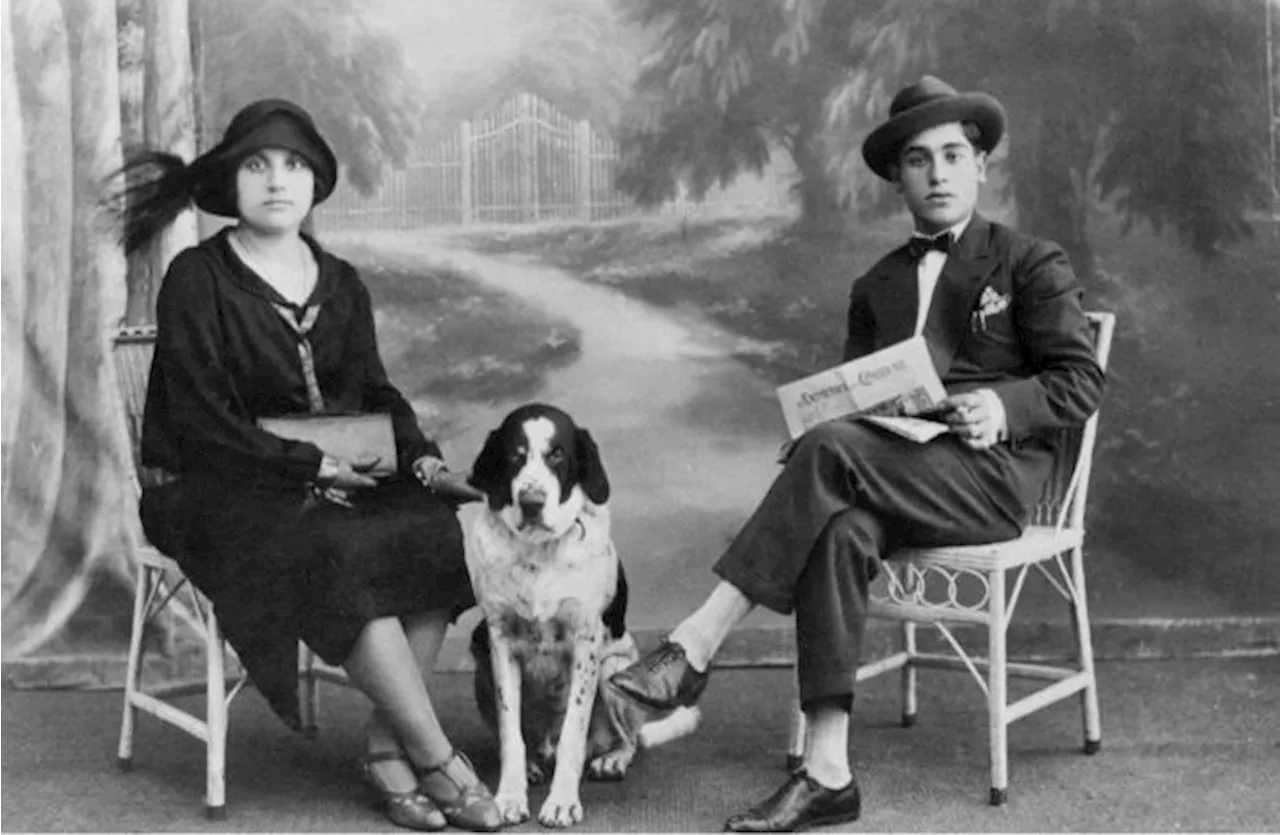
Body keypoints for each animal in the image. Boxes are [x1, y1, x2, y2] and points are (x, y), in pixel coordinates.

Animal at [465, 404, 696, 829]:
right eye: (514, 456)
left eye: (558, 455)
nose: (532, 501)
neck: (538, 551)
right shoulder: (500, 642)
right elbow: (510, 734)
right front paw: (509, 796)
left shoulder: (585, 647)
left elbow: (573, 732)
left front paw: (561, 802)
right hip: (479, 653)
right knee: (529, 742)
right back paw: (534, 766)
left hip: (613, 670)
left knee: (627, 740)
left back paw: (611, 759)